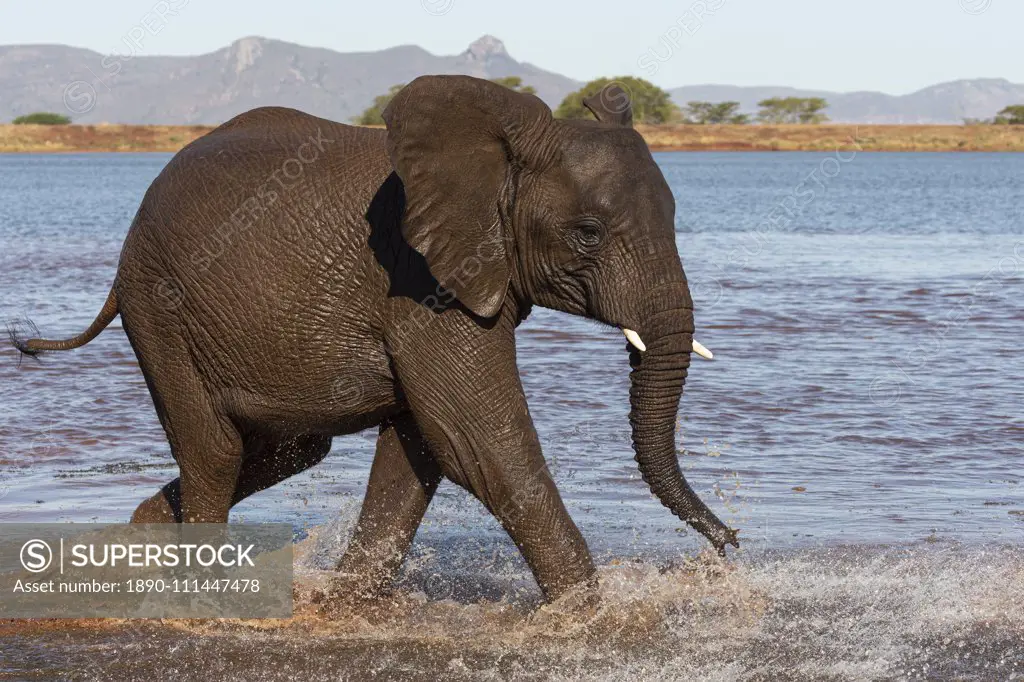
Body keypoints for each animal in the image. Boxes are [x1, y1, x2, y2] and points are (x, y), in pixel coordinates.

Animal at [14, 75, 737, 602]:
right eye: (588, 233)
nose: (728, 547)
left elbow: (421, 446)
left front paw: (348, 602)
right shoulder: (420, 282)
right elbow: (476, 438)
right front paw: (588, 614)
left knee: (289, 449)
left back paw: (143, 538)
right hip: (156, 304)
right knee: (215, 450)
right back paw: (202, 592)